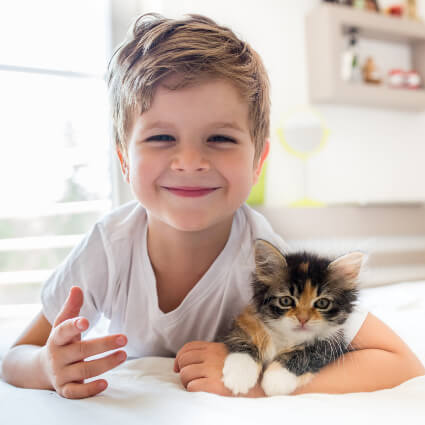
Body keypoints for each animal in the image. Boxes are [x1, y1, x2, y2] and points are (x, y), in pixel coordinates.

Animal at [219, 238, 362, 394]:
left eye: (322, 303)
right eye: (286, 301)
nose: (303, 319)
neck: (287, 337)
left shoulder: (334, 343)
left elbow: (309, 352)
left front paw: (277, 379)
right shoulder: (246, 320)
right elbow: (243, 339)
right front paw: (240, 375)